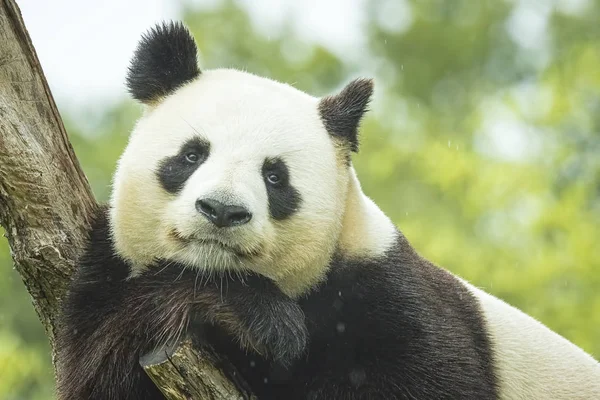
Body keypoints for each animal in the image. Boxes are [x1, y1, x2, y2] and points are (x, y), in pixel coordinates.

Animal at [54, 21, 596, 400]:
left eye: (275, 176)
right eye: (192, 155)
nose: (222, 211)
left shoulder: (393, 302)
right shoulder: (104, 276)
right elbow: (105, 365)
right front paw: (259, 318)